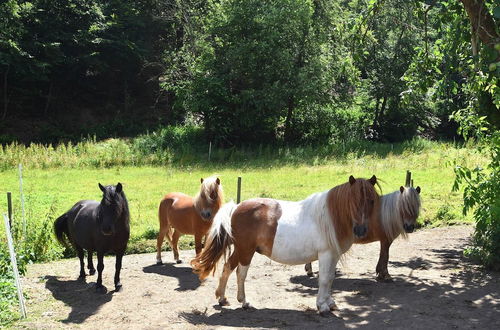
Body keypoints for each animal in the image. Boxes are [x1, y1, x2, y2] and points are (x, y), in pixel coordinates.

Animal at [191, 177, 378, 316]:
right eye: (352, 202)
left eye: (371, 201)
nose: (361, 230)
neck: (330, 218)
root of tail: (237, 207)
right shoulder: (326, 254)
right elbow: (325, 279)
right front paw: (322, 306)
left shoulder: (333, 255)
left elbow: (331, 278)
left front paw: (330, 303)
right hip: (246, 251)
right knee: (240, 273)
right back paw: (244, 301)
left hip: (241, 250)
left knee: (228, 267)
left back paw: (222, 298)